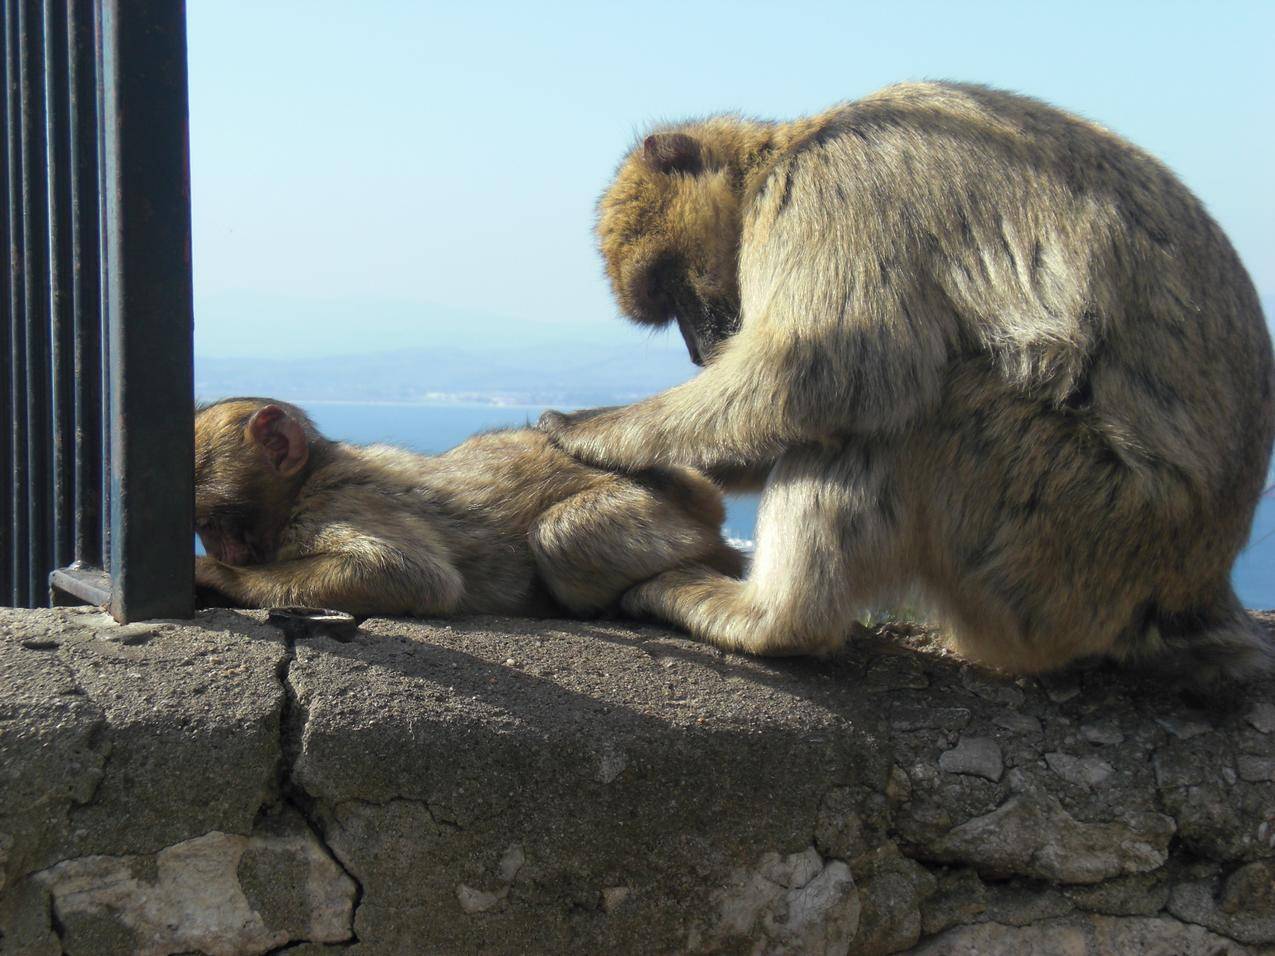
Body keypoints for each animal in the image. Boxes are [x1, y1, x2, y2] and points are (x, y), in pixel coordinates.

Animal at [193, 397, 744, 616]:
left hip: (652, 514)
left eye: (211, 523)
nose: (221, 550)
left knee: (561, 537)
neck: (304, 484)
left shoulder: (335, 506)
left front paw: (215, 575)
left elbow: (411, 575)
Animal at [540, 80, 1275, 683]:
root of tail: (1195, 585)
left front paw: (595, 431)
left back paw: (771, 622)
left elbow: (830, 372)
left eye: (670, 290)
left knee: (921, 410)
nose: (698, 352)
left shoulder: (833, 189)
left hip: (1073, 540)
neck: (784, 155)